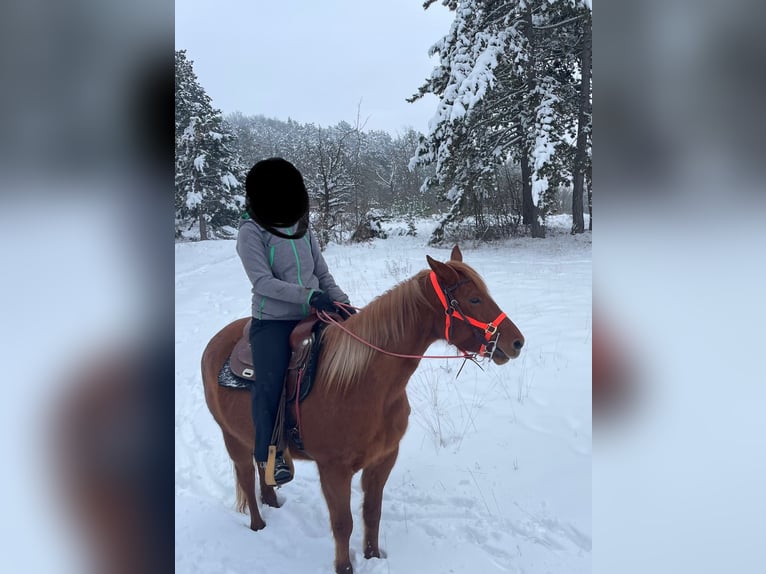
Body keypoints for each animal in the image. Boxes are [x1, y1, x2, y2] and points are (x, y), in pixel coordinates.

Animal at [201, 245, 524, 574]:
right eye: (474, 299)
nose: (517, 342)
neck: (361, 384)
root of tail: (215, 342)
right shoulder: (333, 470)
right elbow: (343, 523)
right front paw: (345, 568)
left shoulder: (383, 459)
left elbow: (372, 513)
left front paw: (373, 557)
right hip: (231, 437)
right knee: (245, 476)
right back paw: (258, 525)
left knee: (260, 464)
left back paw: (272, 501)